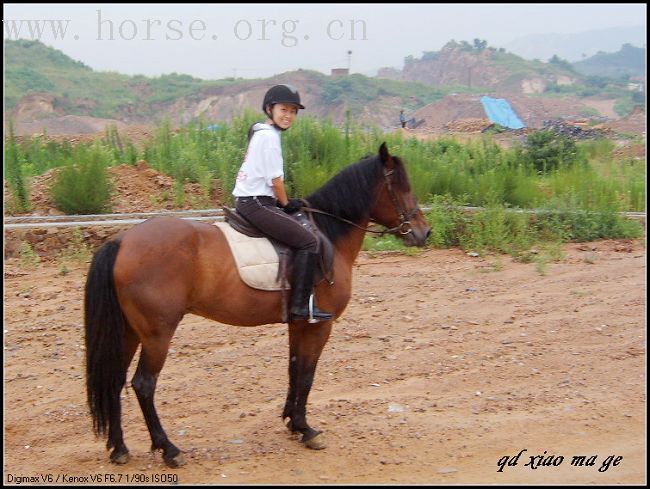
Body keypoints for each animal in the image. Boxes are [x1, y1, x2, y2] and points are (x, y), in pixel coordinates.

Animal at [85, 140, 430, 466]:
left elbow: (294, 369)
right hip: (157, 335)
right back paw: (169, 449)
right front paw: (307, 429)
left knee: (114, 380)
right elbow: (308, 373)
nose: (423, 232)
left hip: (130, 332)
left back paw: (119, 448)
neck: (327, 235)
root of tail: (122, 241)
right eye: (402, 187)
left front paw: (293, 422)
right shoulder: (321, 325)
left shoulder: (299, 323)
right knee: (144, 385)